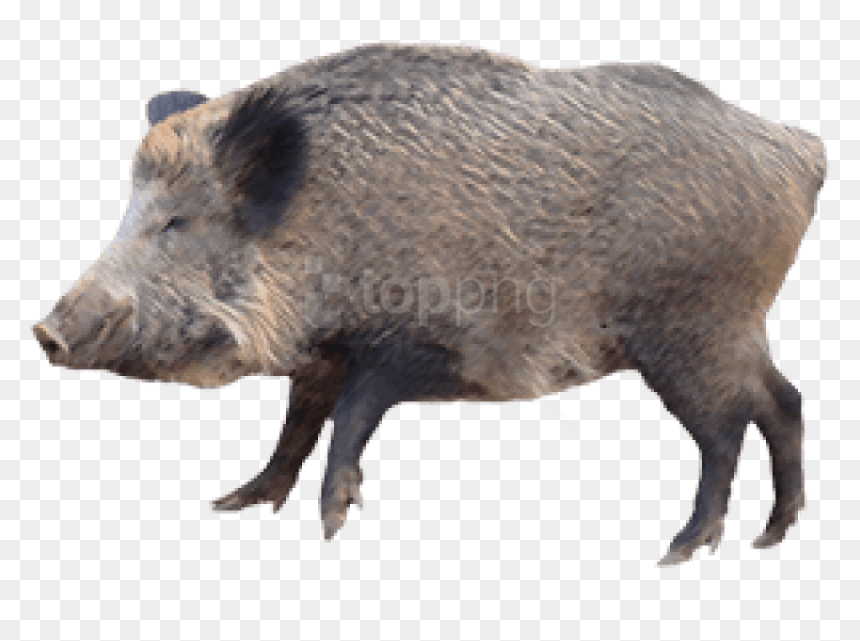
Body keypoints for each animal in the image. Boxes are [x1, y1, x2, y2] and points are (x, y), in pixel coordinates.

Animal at [33, 43, 826, 565]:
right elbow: (296, 425)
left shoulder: (422, 344)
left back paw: (681, 550)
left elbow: (350, 418)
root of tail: (798, 150)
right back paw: (771, 535)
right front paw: (238, 502)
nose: (45, 330)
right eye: (131, 211)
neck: (322, 231)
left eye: (178, 221)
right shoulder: (322, 356)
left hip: (688, 332)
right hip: (731, 331)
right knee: (783, 400)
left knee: (726, 429)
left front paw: (330, 525)